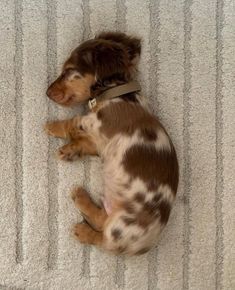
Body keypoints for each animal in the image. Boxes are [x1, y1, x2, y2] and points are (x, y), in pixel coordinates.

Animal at [45, 31, 178, 254]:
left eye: (69, 71)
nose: (47, 92)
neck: (119, 94)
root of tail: (144, 247)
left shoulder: (93, 122)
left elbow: (72, 123)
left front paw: (52, 126)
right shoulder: (99, 143)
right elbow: (83, 143)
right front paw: (70, 151)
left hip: (123, 225)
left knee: (103, 239)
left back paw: (82, 230)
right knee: (101, 220)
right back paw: (81, 197)